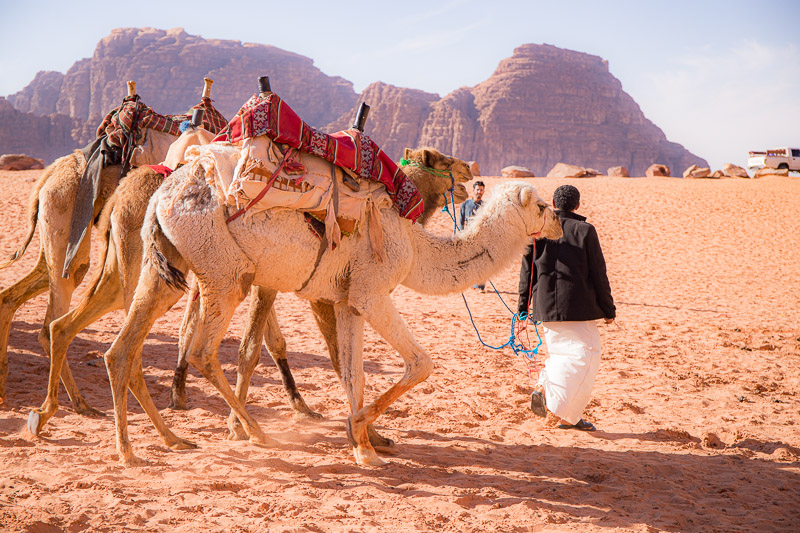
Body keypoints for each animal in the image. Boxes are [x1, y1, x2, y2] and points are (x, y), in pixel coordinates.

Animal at [0, 79, 220, 406]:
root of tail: (49, 173)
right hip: (68, 221)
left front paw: (178, 394)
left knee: (19, 297)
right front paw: (179, 395)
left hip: (56, 236)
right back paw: (75, 403)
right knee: (54, 318)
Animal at [98, 141, 564, 466]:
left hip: (166, 268)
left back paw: (146, 447)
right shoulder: (371, 292)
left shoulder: (346, 300)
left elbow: (353, 372)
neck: (416, 247)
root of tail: (162, 195)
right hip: (223, 272)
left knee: (123, 349)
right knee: (202, 351)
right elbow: (421, 363)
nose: (560, 222)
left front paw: (363, 447)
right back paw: (254, 432)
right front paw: (358, 430)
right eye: (541, 205)